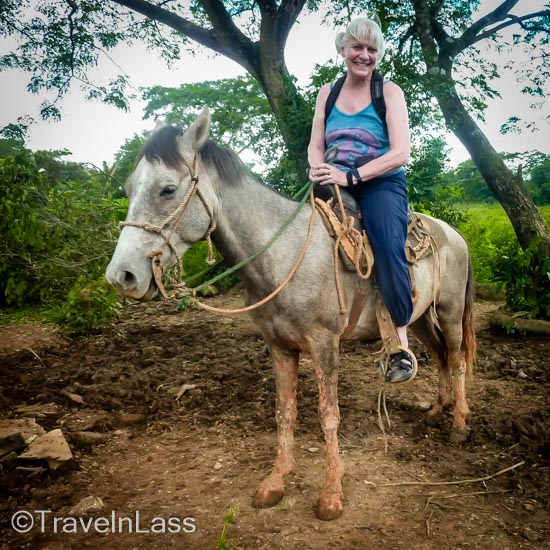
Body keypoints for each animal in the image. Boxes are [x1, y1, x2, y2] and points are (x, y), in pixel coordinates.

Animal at [106, 110, 474, 524]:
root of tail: (454, 234)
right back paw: (437, 409)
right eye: (128, 187)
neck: (285, 253)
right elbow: (285, 413)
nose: (122, 276)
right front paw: (276, 482)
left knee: (456, 358)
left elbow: (328, 416)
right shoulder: (280, 347)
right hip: (419, 318)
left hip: (450, 311)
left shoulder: (325, 345)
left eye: (167, 189)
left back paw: (459, 422)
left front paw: (332, 495)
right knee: (440, 356)